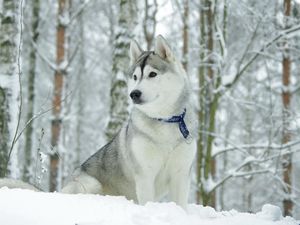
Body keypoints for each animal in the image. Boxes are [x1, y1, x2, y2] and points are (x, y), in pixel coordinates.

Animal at [1, 35, 198, 209]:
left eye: (152, 74)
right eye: (135, 77)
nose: (134, 94)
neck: (164, 121)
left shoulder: (181, 174)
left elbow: (181, 205)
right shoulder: (144, 175)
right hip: (90, 184)